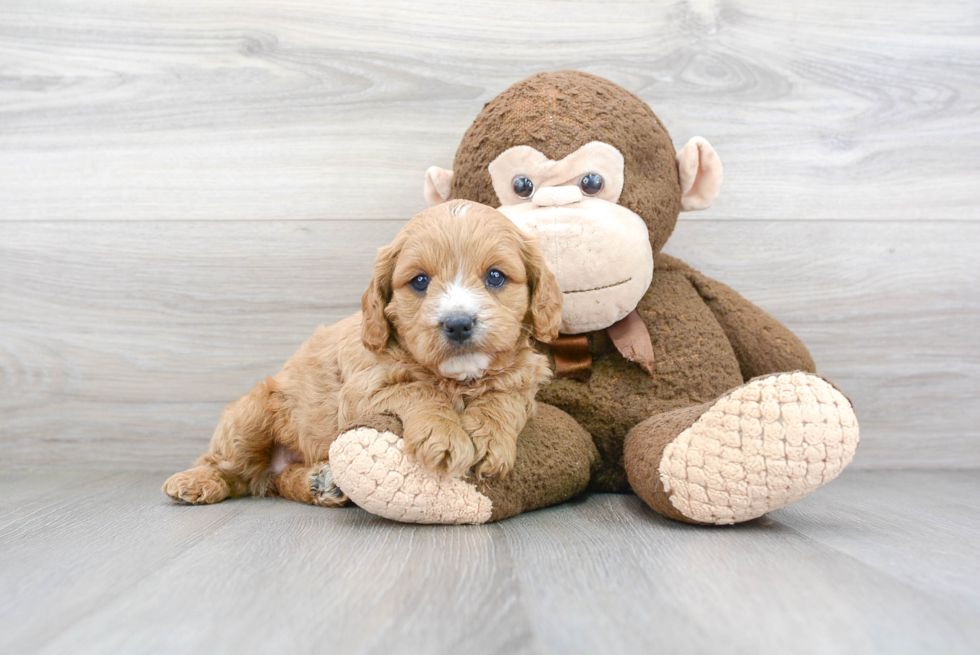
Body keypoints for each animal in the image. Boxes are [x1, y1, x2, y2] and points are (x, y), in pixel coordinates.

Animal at [165, 202, 564, 510]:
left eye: (495, 277)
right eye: (420, 281)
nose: (458, 324)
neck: (455, 377)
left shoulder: (525, 377)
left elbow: (504, 399)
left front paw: (489, 441)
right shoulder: (361, 391)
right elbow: (419, 390)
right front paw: (444, 434)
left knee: (277, 482)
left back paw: (319, 482)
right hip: (252, 414)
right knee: (232, 470)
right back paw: (195, 481)